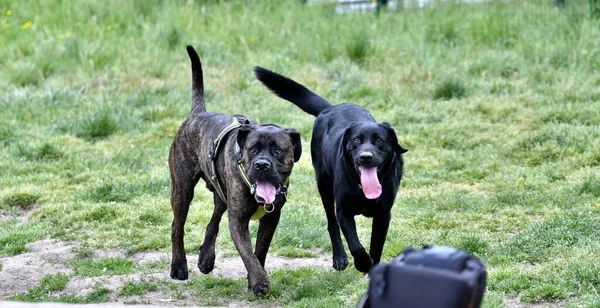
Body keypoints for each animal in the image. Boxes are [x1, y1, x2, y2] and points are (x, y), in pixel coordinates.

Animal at [168, 46, 300, 296]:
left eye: (278, 151)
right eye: (252, 149)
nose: (262, 164)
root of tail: (198, 114)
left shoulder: (271, 218)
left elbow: (259, 251)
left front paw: (253, 279)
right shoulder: (238, 220)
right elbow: (247, 253)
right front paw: (259, 281)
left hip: (221, 193)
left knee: (213, 219)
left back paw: (206, 257)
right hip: (182, 191)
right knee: (177, 227)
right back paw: (179, 266)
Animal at [255, 67, 406, 272]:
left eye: (379, 140)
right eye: (356, 140)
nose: (365, 157)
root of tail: (331, 107)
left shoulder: (383, 215)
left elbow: (376, 247)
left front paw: (371, 266)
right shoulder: (343, 212)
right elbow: (356, 245)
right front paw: (362, 263)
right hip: (324, 185)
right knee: (331, 223)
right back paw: (339, 258)